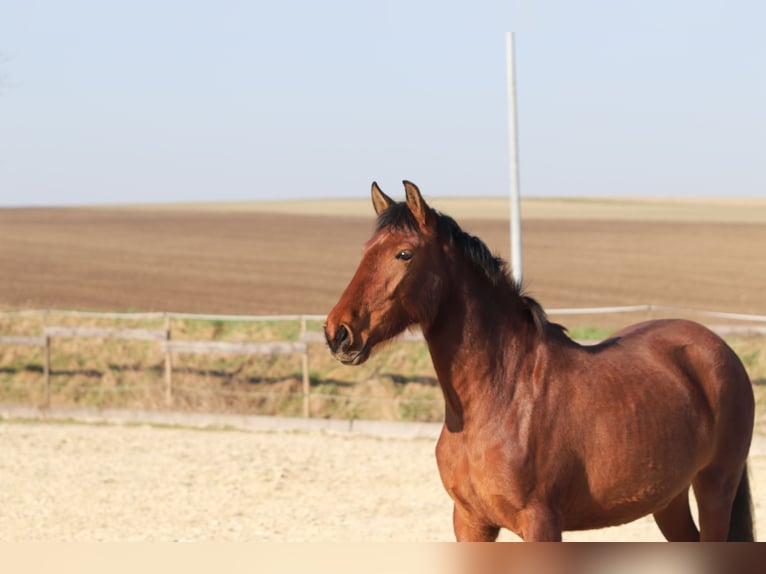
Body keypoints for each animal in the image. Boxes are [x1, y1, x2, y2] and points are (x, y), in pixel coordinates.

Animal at [324, 181, 756, 542]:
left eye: (404, 254)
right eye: (365, 252)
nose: (337, 332)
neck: (502, 396)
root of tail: (718, 350)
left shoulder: (540, 524)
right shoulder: (470, 523)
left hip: (715, 488)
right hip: (669, 499)